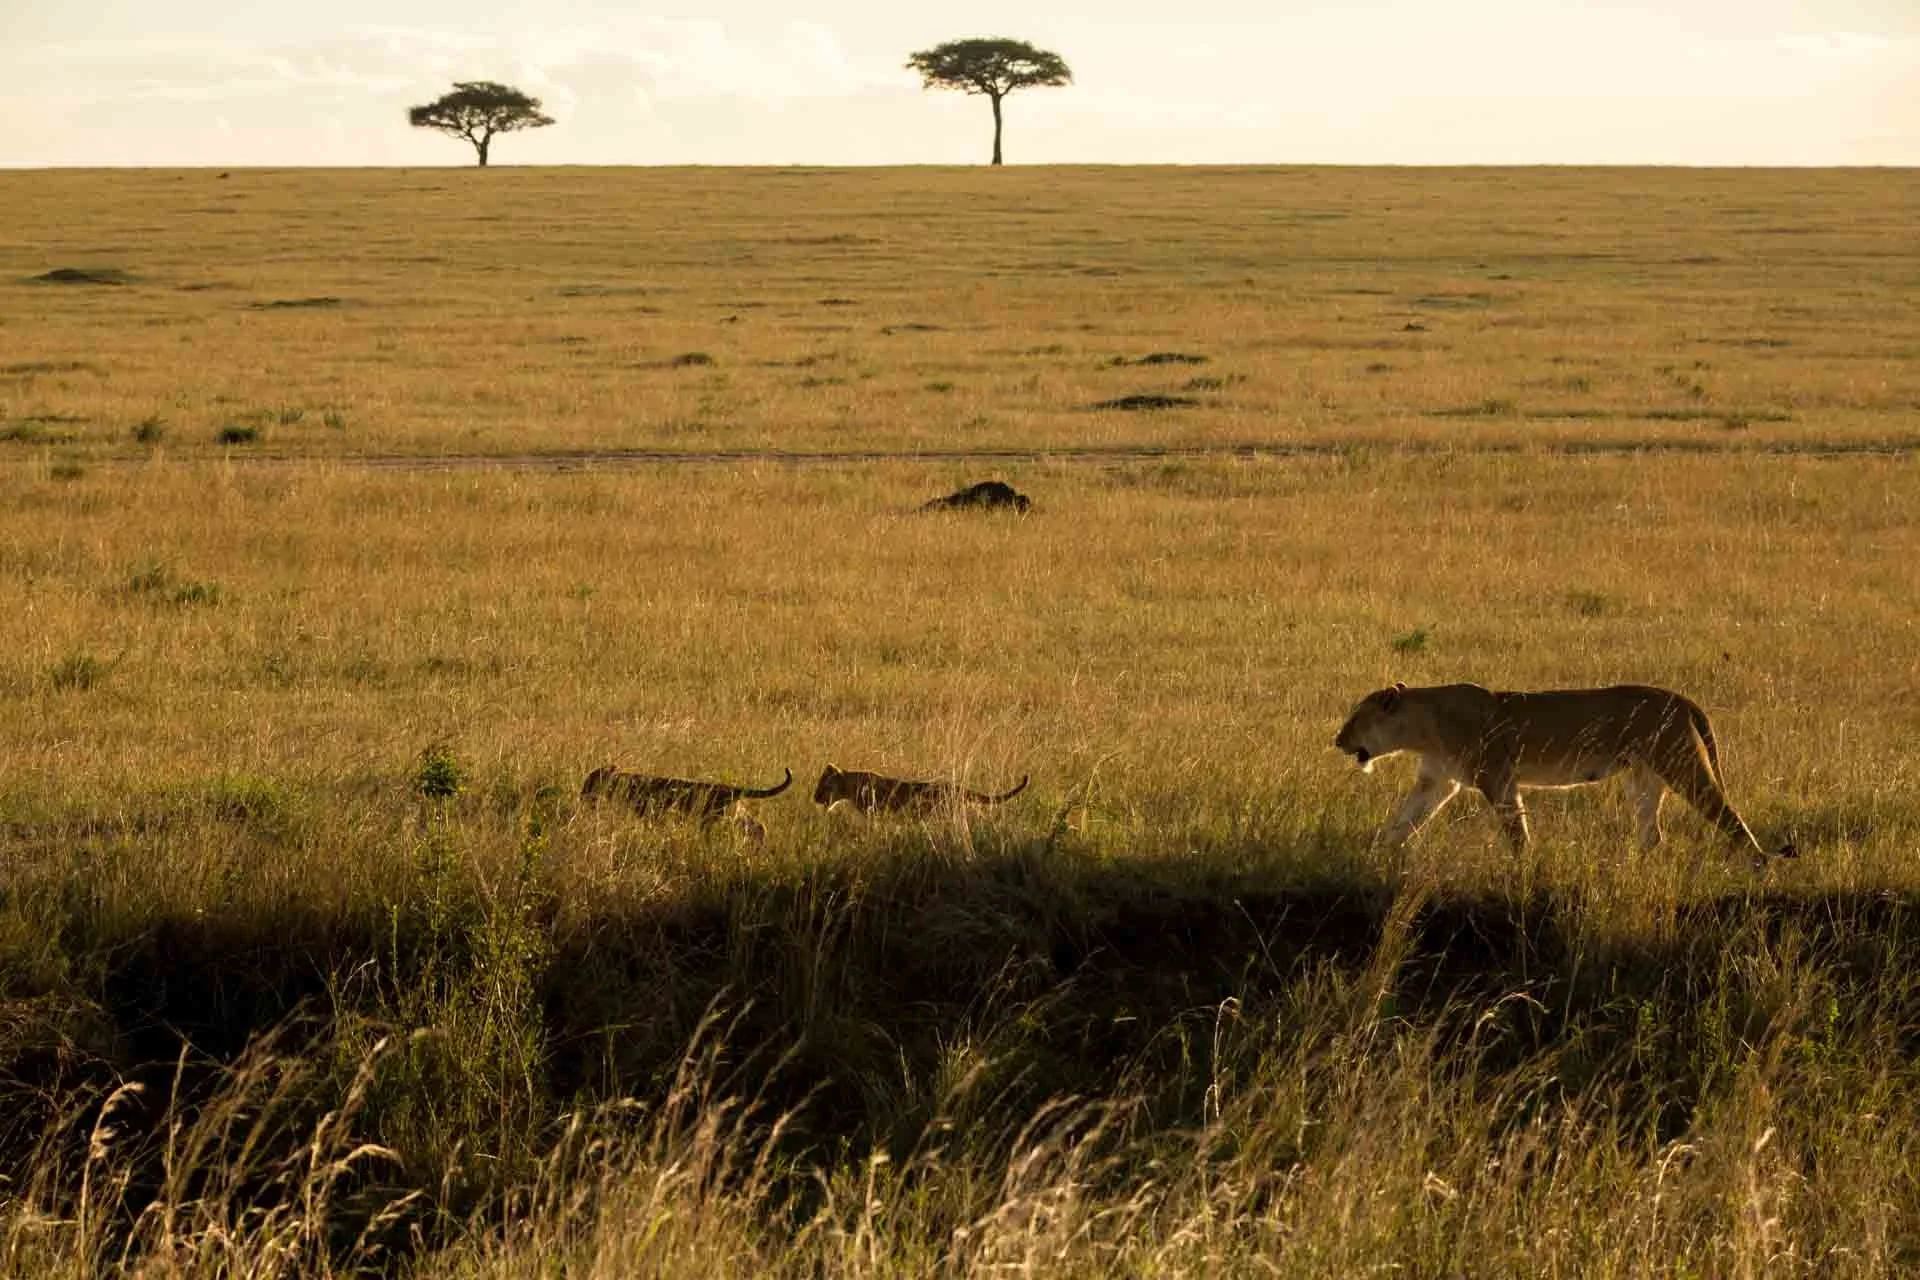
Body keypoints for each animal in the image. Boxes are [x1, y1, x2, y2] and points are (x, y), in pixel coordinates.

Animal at [580, 766, 791, 840]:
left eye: (589, 781)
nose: (582, 793)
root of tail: (731, 788)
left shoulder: (648, 811)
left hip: (717, 818)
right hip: (734, 815)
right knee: (757, 825)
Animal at [1333, 682, 1784, 864]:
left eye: (1355, 718)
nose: (1337, 740)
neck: (1422, 728)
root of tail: (1681, 698)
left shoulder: (1497, 776)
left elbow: (1515, 831)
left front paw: (1523, 868)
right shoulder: (1436, 782)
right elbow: (1401, 822)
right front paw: (1372, 854)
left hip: (1681, 764)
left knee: (1730, 817)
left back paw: (1758, 866)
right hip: (1642, 778)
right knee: (1652, 834)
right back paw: (1631, 867)